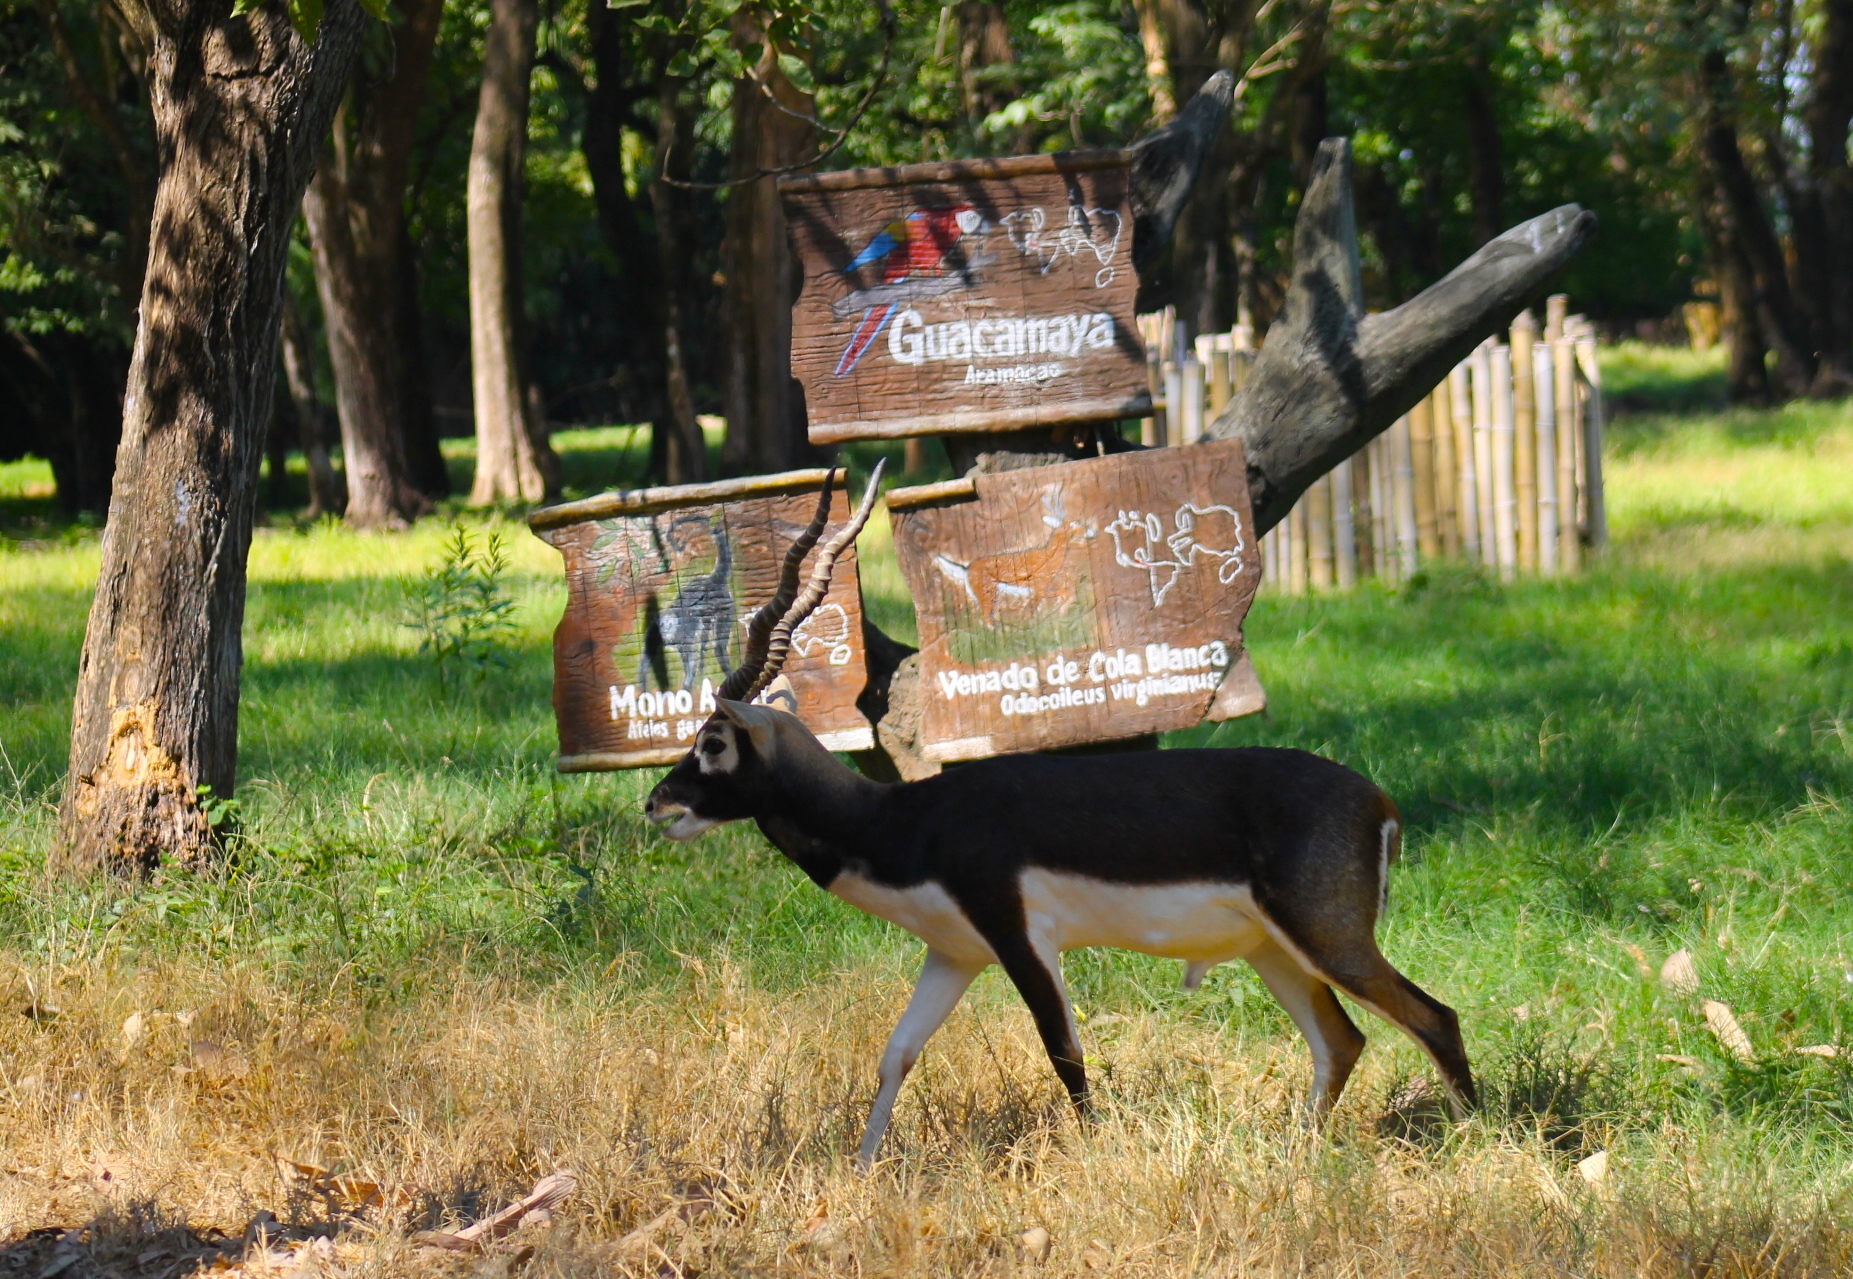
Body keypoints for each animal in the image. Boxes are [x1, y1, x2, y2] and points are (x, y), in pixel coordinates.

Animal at [641, 463, 1474, 1164]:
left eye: (711, 740)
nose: (657, 802)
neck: (906, 821)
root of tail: (1376, 799)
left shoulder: (1020, 936)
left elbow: (1064, 1052)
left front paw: (1097, 1156)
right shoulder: (952, 953)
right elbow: (895, 1053)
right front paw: (861, 1167)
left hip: (1327, 937)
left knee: (1433, 1017)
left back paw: (1472, 1142)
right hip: (1273, 948)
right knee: (1341, 1040)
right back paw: (1294, 1155)